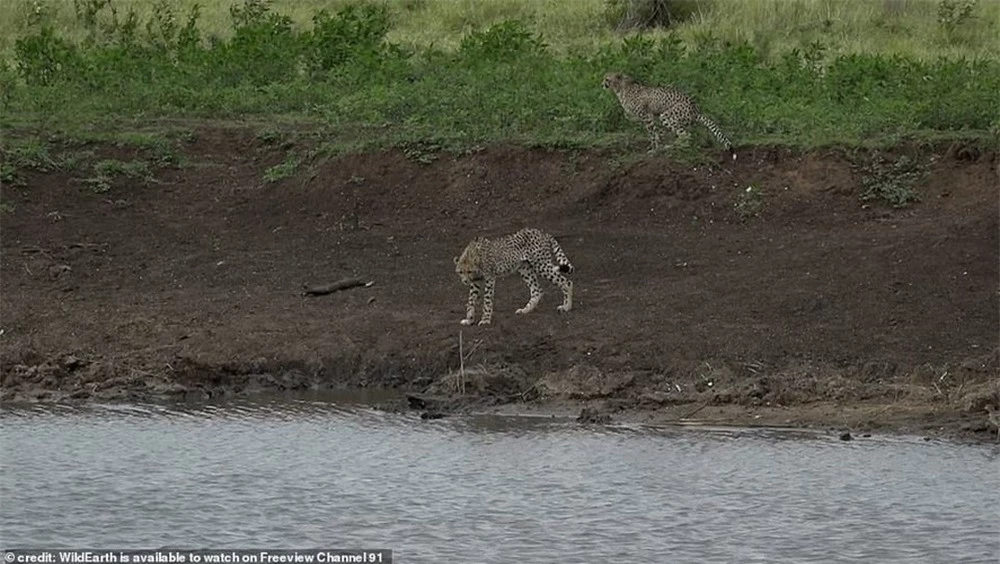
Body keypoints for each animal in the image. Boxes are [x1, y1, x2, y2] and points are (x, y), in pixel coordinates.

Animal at [600, 72, 736, 160]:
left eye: (607, 79)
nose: (602, 84)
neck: (621, 88)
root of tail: (696, 110)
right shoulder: (649, 116)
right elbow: (653, 131)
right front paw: (656, 146)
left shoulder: (646, 116)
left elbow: (652, 134)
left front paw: (654, 149)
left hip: (666, 116)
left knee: (686, 135)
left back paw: (674, 146)